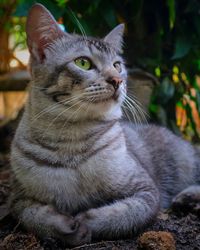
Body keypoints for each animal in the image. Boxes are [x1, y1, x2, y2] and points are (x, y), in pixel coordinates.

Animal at [9, 2, 200, 247]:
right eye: (83, 62)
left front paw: (86, 221)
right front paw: (64, 226)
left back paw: (188, 197)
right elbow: (34, 217)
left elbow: (122, 214)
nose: (117, 80)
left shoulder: (147, 191)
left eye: (117, 65)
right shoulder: (18, 198)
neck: (71, 141)